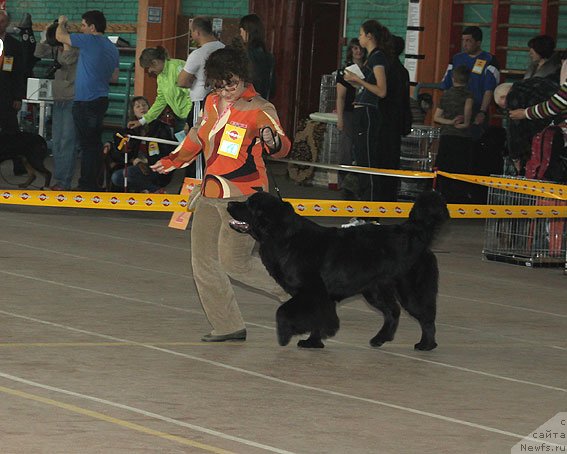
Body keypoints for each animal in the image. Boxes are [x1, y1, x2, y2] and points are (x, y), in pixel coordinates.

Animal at [229, 192, 450, 352]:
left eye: (249, 205)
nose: (229, 204)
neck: (285, 238)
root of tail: (414, 231)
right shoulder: (317, 296)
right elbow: (317, 318)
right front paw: (314, 342)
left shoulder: (311, 291)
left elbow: (282, 311)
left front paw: (286, 335)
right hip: (375, 290)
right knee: (393, 312)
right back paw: (380, 339)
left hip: (410, 291)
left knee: (426, 316)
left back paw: (426, 345)